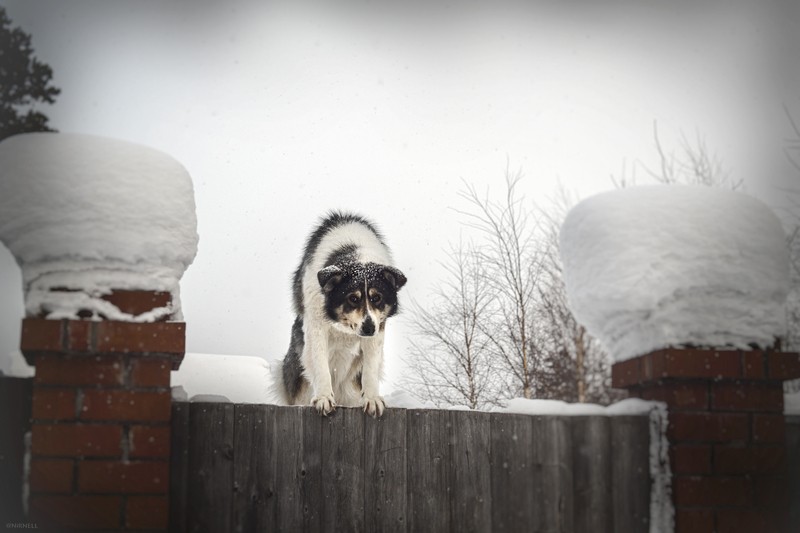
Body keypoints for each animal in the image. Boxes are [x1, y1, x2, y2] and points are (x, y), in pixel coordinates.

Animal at [282, 211, 406, 416]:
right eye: (353, 298)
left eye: (377, 298)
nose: (368, 328)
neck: (355, 252)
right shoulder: (316, 324)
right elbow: (320, 363)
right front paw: (324, 398)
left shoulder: (378, 327)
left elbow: (371, 367)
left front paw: (372, 399)